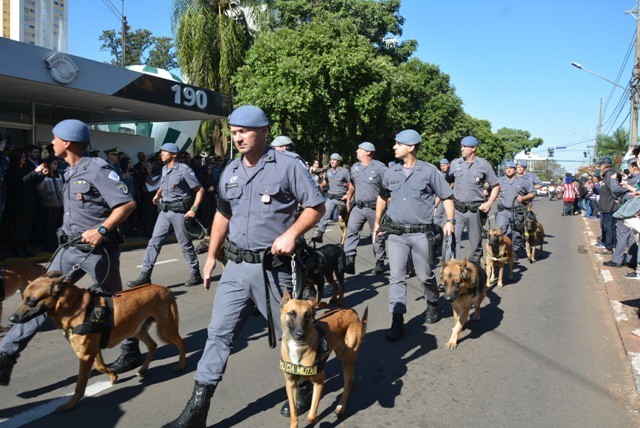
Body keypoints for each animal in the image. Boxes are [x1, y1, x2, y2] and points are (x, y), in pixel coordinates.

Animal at [9, 272, 185, 412]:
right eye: (22, 298)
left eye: (31, 301)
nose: (11, 319)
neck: (74, 306)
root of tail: (165, 288)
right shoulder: (93, 351)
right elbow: (101, 367)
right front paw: (113, 376)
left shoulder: (86, 355)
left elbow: (80, 386)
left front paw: (70, 404)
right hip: (138, 330)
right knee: (153, 346)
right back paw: (142, 370)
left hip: (166, 329)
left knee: (181, 343)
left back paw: (180, 365)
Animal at [278, 290, 368, 426]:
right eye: (292, 314)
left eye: (307, 315)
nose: (300, 335)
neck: (298, 347)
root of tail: (352, 311)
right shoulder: (291, 384)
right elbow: (294, 415)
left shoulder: (319, 381)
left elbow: (310, 416)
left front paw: (316, 417)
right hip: (342, 355)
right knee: (351, 376)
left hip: (346, 358)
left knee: (347, 384)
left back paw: (340, 407)